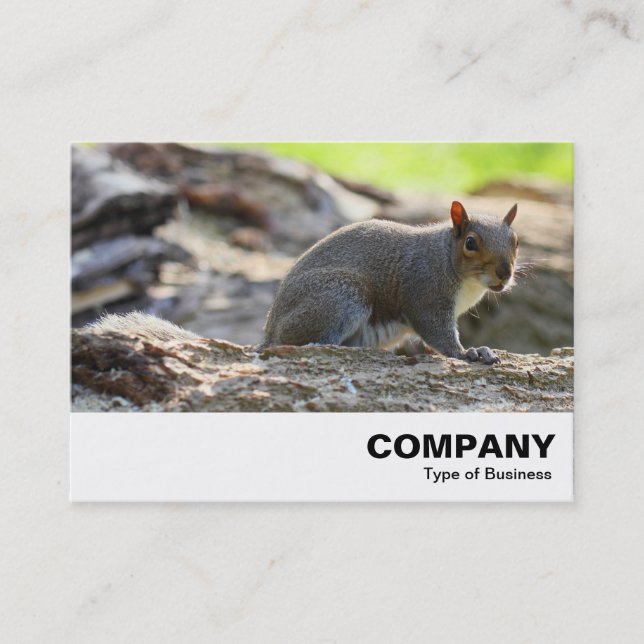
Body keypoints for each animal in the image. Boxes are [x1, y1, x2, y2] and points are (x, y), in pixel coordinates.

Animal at [261, 201, 519, 364]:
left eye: (515, 241)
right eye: (470, 243)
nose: (504, 272)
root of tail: (268, 331)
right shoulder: (426, 294)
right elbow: (438, 334)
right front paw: (467, 353)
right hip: (342, 295)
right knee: (295, 341)